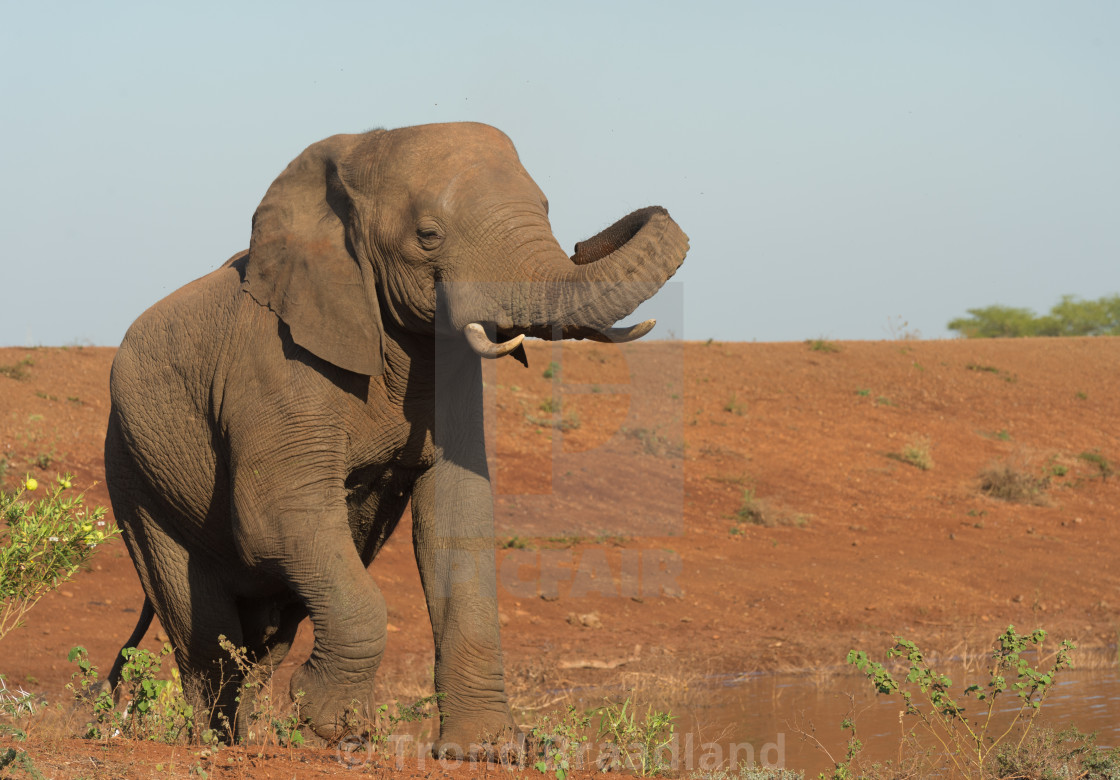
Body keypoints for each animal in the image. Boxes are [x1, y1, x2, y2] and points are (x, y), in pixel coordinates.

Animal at [105, 123, 685, 757]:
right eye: (428, 236)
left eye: (547, 209)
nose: (584, 243)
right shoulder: (274, 365)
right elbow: (278, 518)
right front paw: (334, 724)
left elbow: (456, 521)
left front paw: (487, 751)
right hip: (134, 471)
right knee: (203, 628)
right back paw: (220, 746)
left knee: (265, 634)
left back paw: (251, 738)